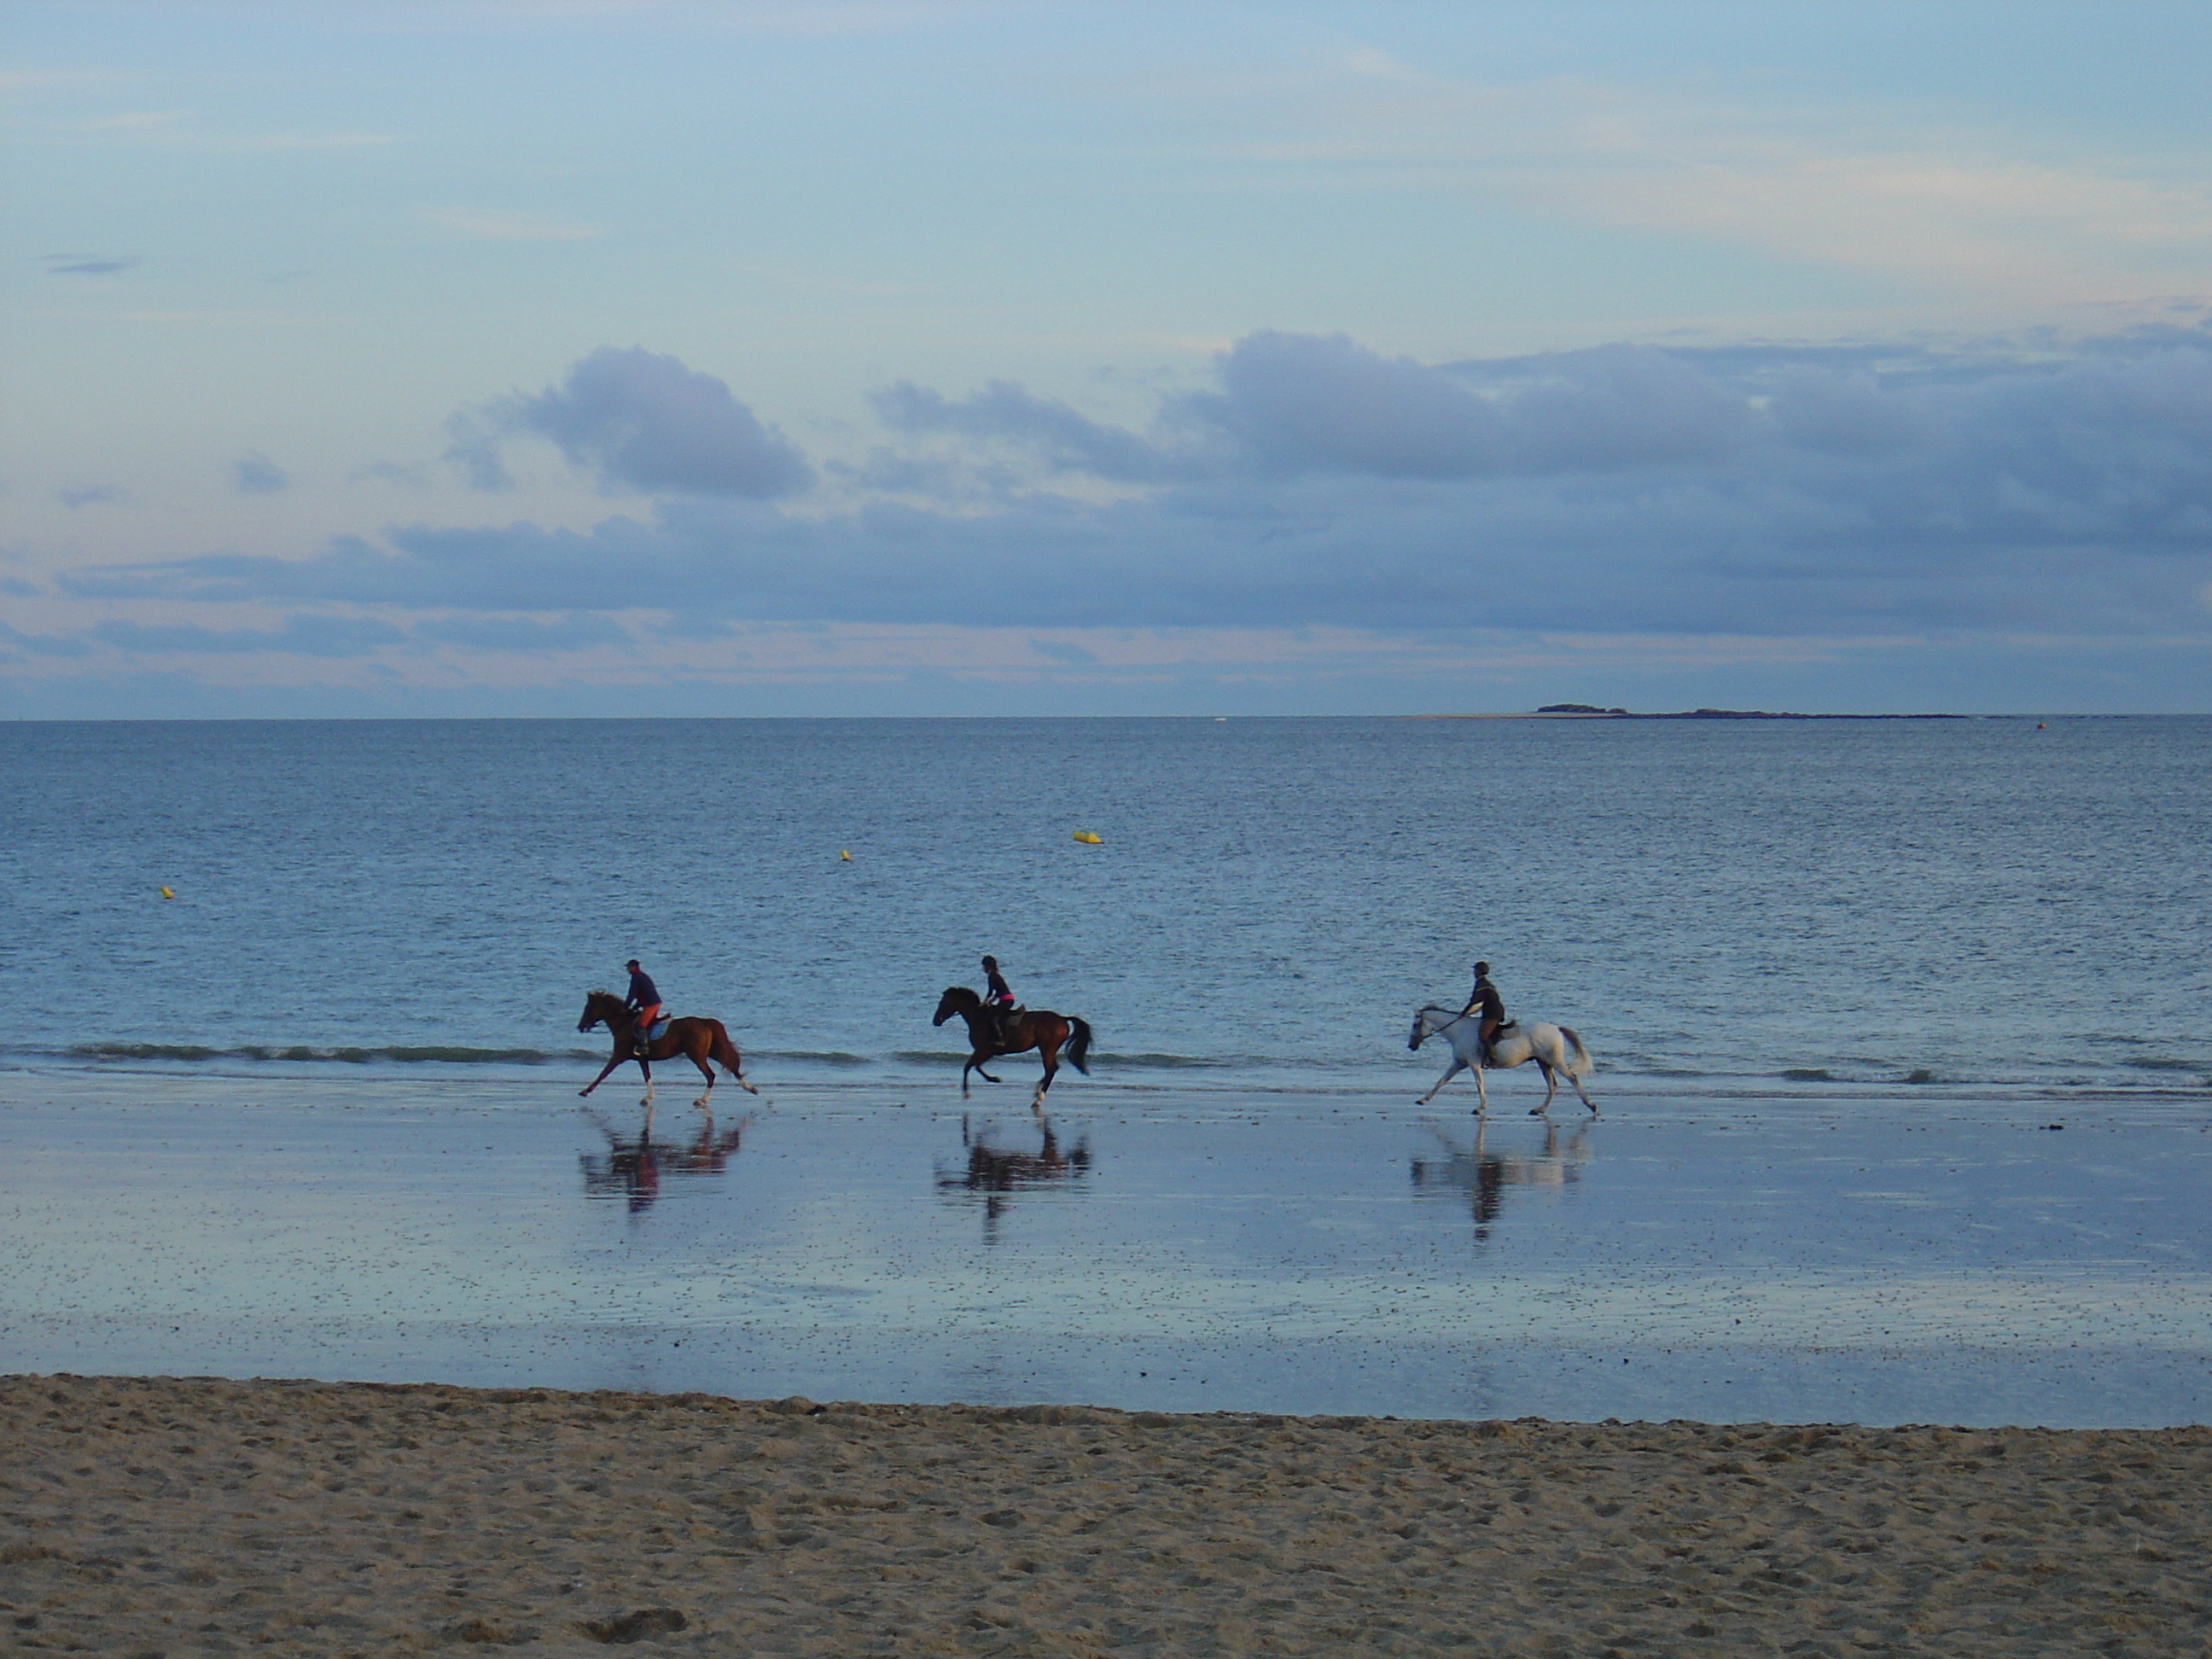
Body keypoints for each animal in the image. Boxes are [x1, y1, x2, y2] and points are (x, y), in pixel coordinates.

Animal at [570, 995, 760, 1110]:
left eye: (588, 1008)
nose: (580, 1026)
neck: (623, 1022)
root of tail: (705, 1022)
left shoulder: (618, 1056)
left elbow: (603, 1073)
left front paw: (585, 1091)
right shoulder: (642, 1059)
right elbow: (647, 1076)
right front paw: (649, 1098)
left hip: (697, 1057)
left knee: (711, 1075)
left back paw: (702, 1100)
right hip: (711, 1051)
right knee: (730, 1064)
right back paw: (750, 1088)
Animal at [928, 987, 1092, 1119]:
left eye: (943, 1002)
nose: (936, 1021)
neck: (978, 1017)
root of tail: (1063, 1019)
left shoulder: (984, 1050)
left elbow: (969, 1067)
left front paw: (969, 1091)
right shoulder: (987, 1052)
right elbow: (975, 1066)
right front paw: (993, 1079)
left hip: (1047, 1048)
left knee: (1050, 1069)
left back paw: (1038, 1100)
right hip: (1047, 1048)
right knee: (1053, 1068)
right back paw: (1037, 1091)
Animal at [1406, 1013, 1601, 1119]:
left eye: (1415, 1024)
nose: (1411, 1045)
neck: (1459, 1031)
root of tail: (1557, 1028)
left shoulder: (1473, 1064)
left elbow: (1479, 1085)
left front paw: (1480, 1107)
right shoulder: (1458, 1063)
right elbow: (1441, 1081)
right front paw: (1423, 1099)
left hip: (1554, 1060)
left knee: (1572, 1078)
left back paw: (1591, 1105)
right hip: (1543, 1062)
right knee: (1553, 1085)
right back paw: (1539, 1109)